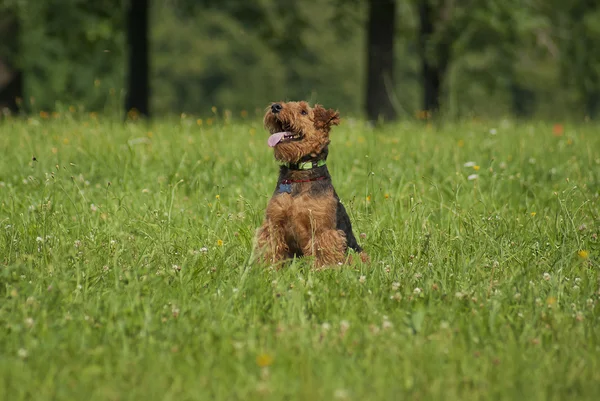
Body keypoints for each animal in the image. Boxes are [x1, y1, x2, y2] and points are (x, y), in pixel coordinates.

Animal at [252, 101, 366, 268]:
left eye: (304, 112)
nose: (275, 107)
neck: (299, 173)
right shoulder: (274, 224)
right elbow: (271, 249)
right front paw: (266, 268)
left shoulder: (321, 229)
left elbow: (321, 253)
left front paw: (323, 270)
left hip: (358, 253)